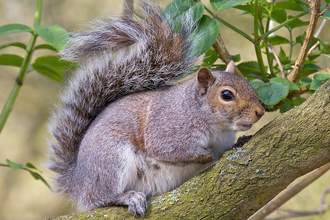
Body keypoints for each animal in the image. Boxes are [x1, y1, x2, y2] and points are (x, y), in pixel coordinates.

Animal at [47, 1, 264, 217]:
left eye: (248, 84)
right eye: (226, 95)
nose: (260, 112)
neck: (215, 126)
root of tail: (77, 181)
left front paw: (239, 142)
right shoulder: (166, 128)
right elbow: (166, 150)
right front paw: (202, 155)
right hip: (110, 160)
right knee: (99, 198)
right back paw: (128, 197)